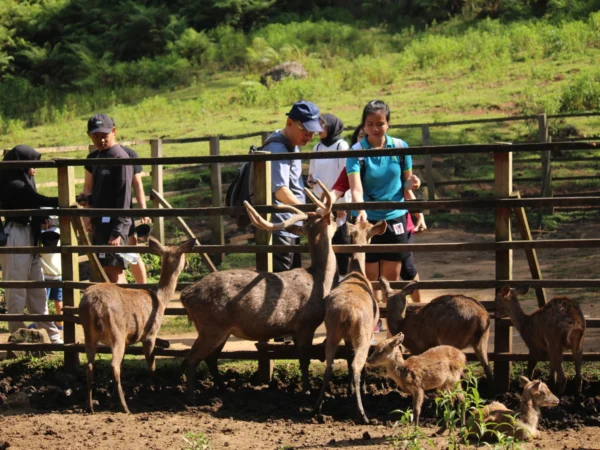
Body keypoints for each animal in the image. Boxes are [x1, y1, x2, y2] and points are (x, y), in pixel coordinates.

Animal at [79, 237, 195, 414]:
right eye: (182, 254)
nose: (188, 263)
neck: (161, 300)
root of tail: (95, 304)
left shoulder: (129, 339)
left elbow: (125, 364)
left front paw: (111, 397)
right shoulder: (150, 334)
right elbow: (151, 365)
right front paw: (156, 391)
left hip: (89, 334)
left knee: (91, 366)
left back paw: (90, 406)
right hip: (117, 332)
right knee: (113, 365)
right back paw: (125, 407)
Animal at [178, 181, 338, 396]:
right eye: (332, 220)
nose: (337, 217)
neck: (321, 281)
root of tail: (185, 295)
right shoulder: (306, 323)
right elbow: (305, 361)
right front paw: (307, 391)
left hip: (221, 330)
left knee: (210, 358)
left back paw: (222, 388)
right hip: (210, 326)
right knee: (191, 359)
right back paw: (190, 396)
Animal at [312, 220, 386, 424]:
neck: (357, 272)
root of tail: (346, 313)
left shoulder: (345, 337)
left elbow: (347, 356)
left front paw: (348, 390)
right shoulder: (370, 331)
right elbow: (354, 361)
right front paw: (359, 389)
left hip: (332, 330)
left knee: (329, 365)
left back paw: (316, 407)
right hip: (362, 333)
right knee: (357, 364)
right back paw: (363, 413)